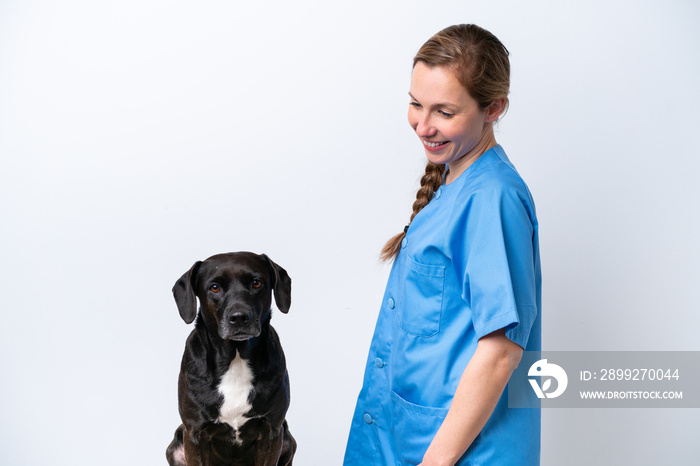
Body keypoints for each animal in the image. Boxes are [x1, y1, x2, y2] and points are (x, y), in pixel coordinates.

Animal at [166, 253, 296, 466]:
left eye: (256, 283)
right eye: (214, 287)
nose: (239, 317)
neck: (235, 358)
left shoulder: (271, 432)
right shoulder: (194, 433)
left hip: (287, 439)